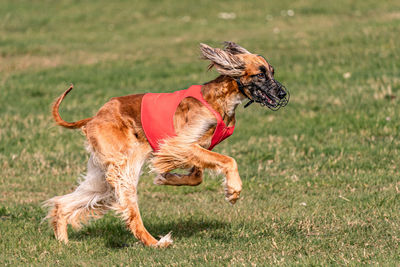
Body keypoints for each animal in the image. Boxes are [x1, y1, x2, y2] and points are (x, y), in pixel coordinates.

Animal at [45, 42, 290, 249]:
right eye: (260, 73)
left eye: (272, 72)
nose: (282, 94)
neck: (220, 100)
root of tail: (94, 118)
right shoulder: (178, 144)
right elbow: (228, 161)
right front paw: (233, 190)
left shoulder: (199, 146)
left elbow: (197, 176)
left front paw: (167, 178)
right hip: (125, 164)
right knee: (129, 207)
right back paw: (155, 243)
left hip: (102, 173)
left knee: (65, 203)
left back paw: (63, 240)